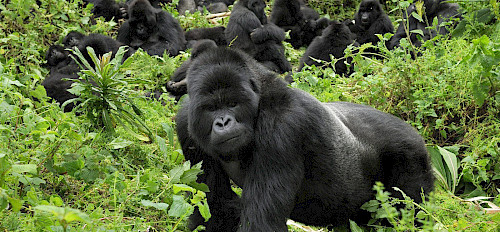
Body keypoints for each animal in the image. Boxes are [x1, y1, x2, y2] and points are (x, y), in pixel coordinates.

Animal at [176, 46, 434, 231]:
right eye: (211, 108)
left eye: (232, 103)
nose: (223, 122)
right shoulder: (186, 123)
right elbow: (214, 208)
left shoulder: (282, 127)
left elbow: (261, 223)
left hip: (412, 155)